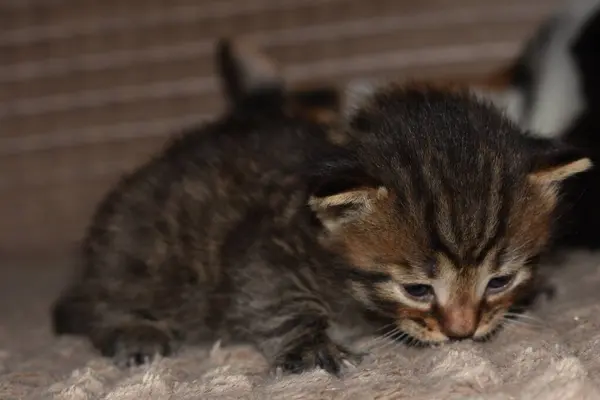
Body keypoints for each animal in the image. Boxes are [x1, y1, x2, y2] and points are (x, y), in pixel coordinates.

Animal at [52, 83, 592, 376]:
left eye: (499, 281)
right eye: (417, 289)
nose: (461, 332)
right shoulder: (261, 247)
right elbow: (275, 298)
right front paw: (310, 346)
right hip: (141, 257)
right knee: (101, 306)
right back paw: (134, 331)